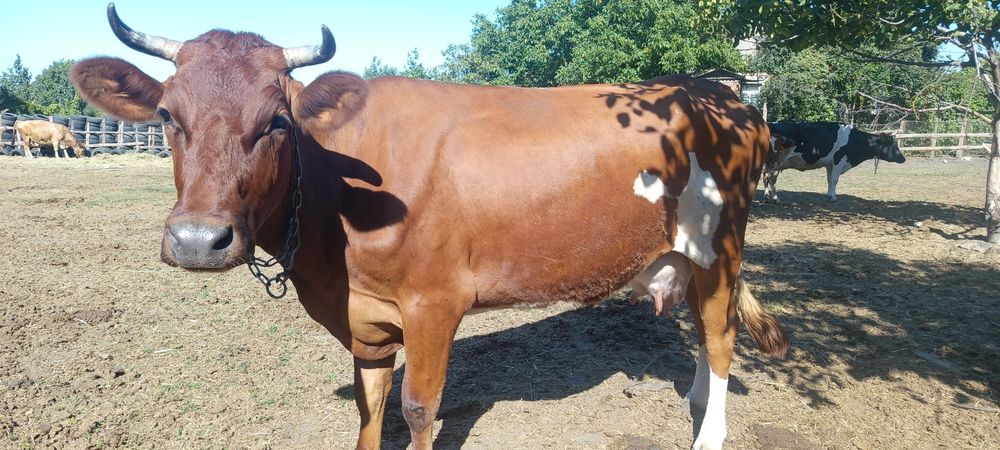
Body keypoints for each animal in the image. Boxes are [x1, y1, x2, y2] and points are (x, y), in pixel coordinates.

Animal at [72, 4, 789, 450]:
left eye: (276, 120)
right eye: (167, 114)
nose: (199, 240)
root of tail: (720, 96)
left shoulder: (435, 302)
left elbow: (419, 408)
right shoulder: (367, 318)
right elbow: (370, 407)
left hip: (722, 248)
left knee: (721, 338)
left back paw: (709, 433)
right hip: (687, 257)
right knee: (705, 332)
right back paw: (695, 403)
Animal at [762, 122, 905, 202]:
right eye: (893, 144)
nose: (903, 159)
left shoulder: (830, 164)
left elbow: (830, 179)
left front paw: (829, 195)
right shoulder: (839, 160)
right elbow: (835, 180)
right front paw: (833, 198)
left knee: (768, 178)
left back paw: (770, 197)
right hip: (774, 162)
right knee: (769, 178)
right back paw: (772, 197)